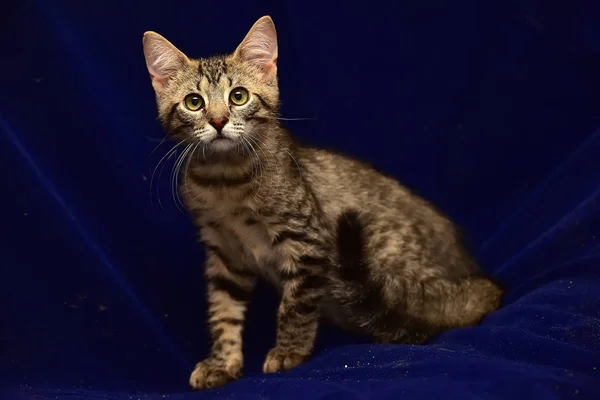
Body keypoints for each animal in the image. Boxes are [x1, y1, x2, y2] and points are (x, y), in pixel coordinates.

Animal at [141, 16, 502, 390]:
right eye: (194, 102)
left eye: (238, 96)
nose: (217, 121)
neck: (224, 182)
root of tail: (475, 279)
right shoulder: (224, 254)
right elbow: (223, 312)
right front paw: (223, 363)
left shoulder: (308, 240)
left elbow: (295, 305)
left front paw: (290, 351)